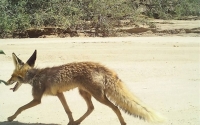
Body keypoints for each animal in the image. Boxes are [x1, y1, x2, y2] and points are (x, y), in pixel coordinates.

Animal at [5, 50, 165, 125]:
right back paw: (77, 122)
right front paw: (70, 121)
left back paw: (123, 123)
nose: (6, 83)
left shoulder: (37, 99)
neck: (35, 76)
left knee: (115, 108)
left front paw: (11, 117)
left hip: (98, 96)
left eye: (12, 76)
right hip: (84, 93)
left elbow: (20, 108)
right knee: (91, 108)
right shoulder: (59, 94)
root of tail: (103, 68)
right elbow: (68, 110)